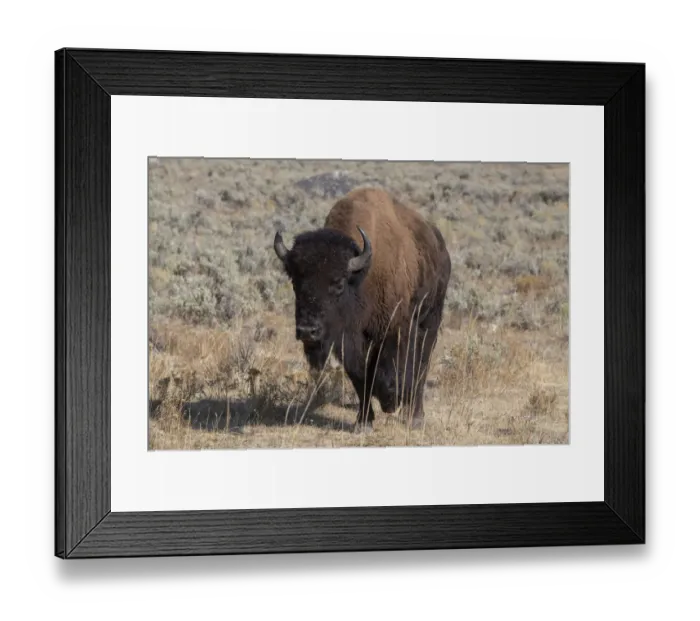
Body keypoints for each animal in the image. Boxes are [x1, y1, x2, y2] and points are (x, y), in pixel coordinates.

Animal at [273, 187, 451, 432]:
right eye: (295, 281)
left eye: (338, 283)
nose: (308, 331)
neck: (361, 277)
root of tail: (440, 246)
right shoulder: (349, 340)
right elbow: (360, 376)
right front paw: (364, 422)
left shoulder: (398, 328)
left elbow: (399, 368)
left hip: (431, 320)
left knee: (422, 366)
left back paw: (415, 417)